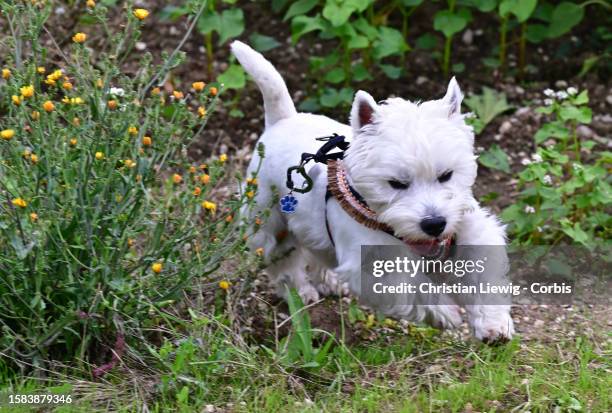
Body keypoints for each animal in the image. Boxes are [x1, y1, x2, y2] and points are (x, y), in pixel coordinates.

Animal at [232, 41, 512, 342]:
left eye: (446, 175)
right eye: (396, 183)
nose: (434, 224)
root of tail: (282, 120)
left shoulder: (469, 228)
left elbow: (482, 274)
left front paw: (493, 325)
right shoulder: (372, 264)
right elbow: (412, 290)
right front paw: (445, 313)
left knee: (317, 251)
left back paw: (329, 282)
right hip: (270, 220)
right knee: (282, 261)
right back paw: (301, 292)